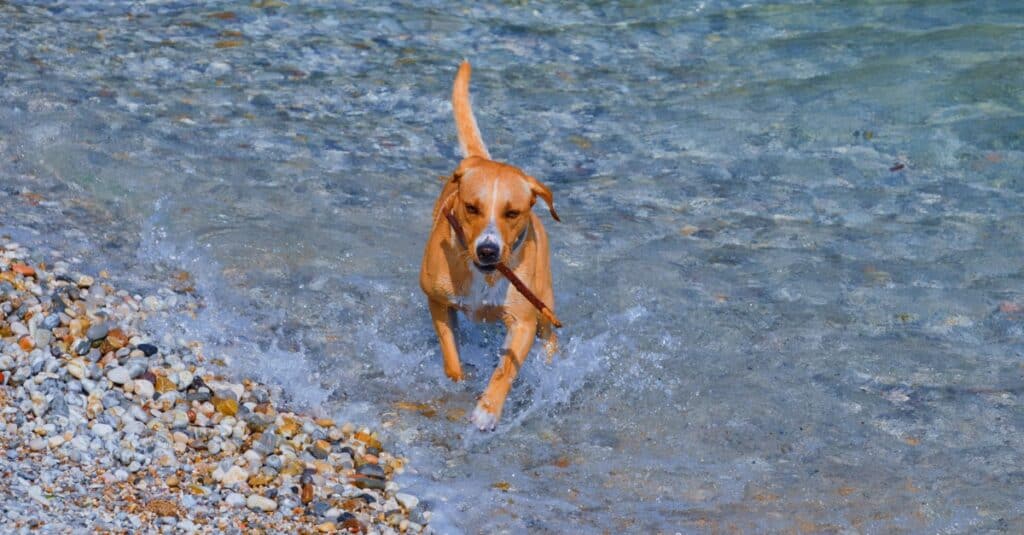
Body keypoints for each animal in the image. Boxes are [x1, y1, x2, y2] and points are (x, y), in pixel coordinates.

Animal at [417, 61, 561, 428]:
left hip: (544, 298)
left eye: (512, 212)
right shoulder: (438, 302)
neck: (485, 275)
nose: (488, 250)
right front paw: (459, 381)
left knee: (550, 335)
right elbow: (450, 356)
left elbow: (505, 370)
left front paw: (488, 410)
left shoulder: (523, 321)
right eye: (471, 207)